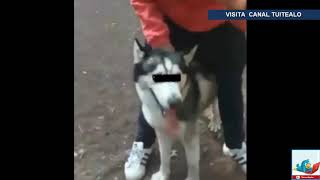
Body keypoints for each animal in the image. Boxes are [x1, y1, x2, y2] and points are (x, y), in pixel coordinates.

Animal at [132, 38, 218, 180]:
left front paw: (192, 178)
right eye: (157, 76)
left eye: (178, 75)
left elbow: (192, 163)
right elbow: (164, 157)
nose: (175, 103)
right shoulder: (161, 132)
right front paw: (163, 174)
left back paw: (216, 121)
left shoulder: (190, 136)